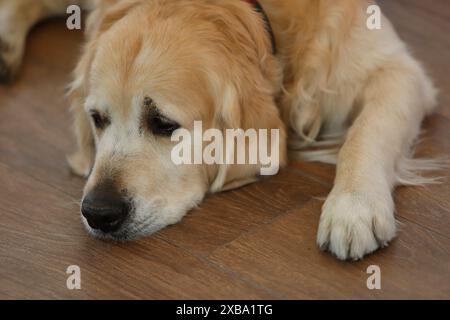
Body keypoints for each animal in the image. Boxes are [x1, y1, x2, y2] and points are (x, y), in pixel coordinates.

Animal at [1, 0, 442, 260]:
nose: (97, 213)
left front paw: (354, 207)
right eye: (97, 118)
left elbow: (364, 133)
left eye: (163, 123)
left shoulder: (397, 70)